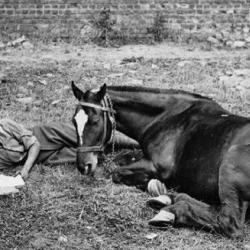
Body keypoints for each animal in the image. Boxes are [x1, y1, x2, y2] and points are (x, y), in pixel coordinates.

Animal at [71, 81, 250, 237]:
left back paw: (171, 211)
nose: (83, 166)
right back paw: (169, 199)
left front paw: (155, 185)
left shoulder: (158, 167)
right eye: (74, 121)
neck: (168, 116)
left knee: (228, 223)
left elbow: (117, 173)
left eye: (95, 121)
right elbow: (123, 159)